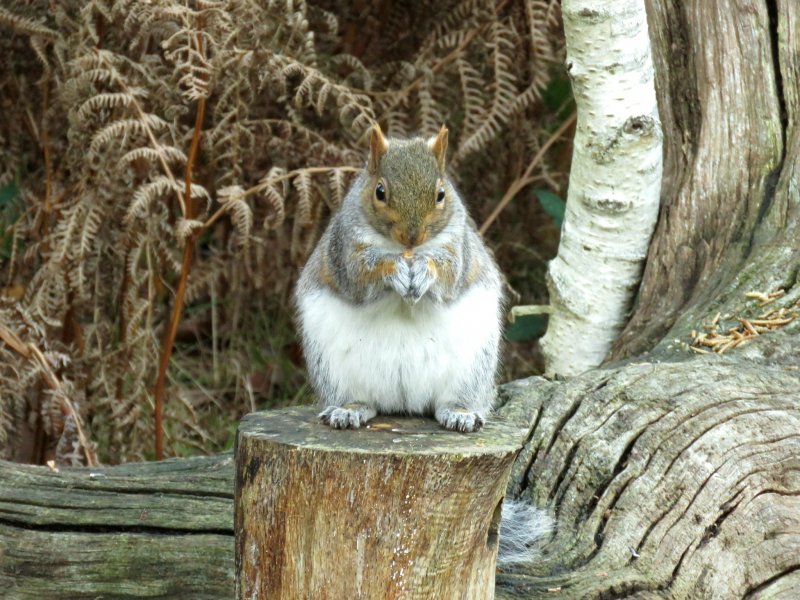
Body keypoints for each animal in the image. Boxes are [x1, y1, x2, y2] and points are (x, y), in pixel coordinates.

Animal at [295, 123, 503, 432]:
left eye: (441, 194)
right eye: (380, 191)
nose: (412, 237)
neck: (405, 251)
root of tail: (404, 403)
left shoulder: (457, 248)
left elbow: (449, 275)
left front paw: (426, 269)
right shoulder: (345, 248)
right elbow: (360, 276)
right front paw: (393, 269)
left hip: (472, 367)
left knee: (455, 399)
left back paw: (460, 413)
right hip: (332, 369)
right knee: (356, 397)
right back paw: (348, 410)